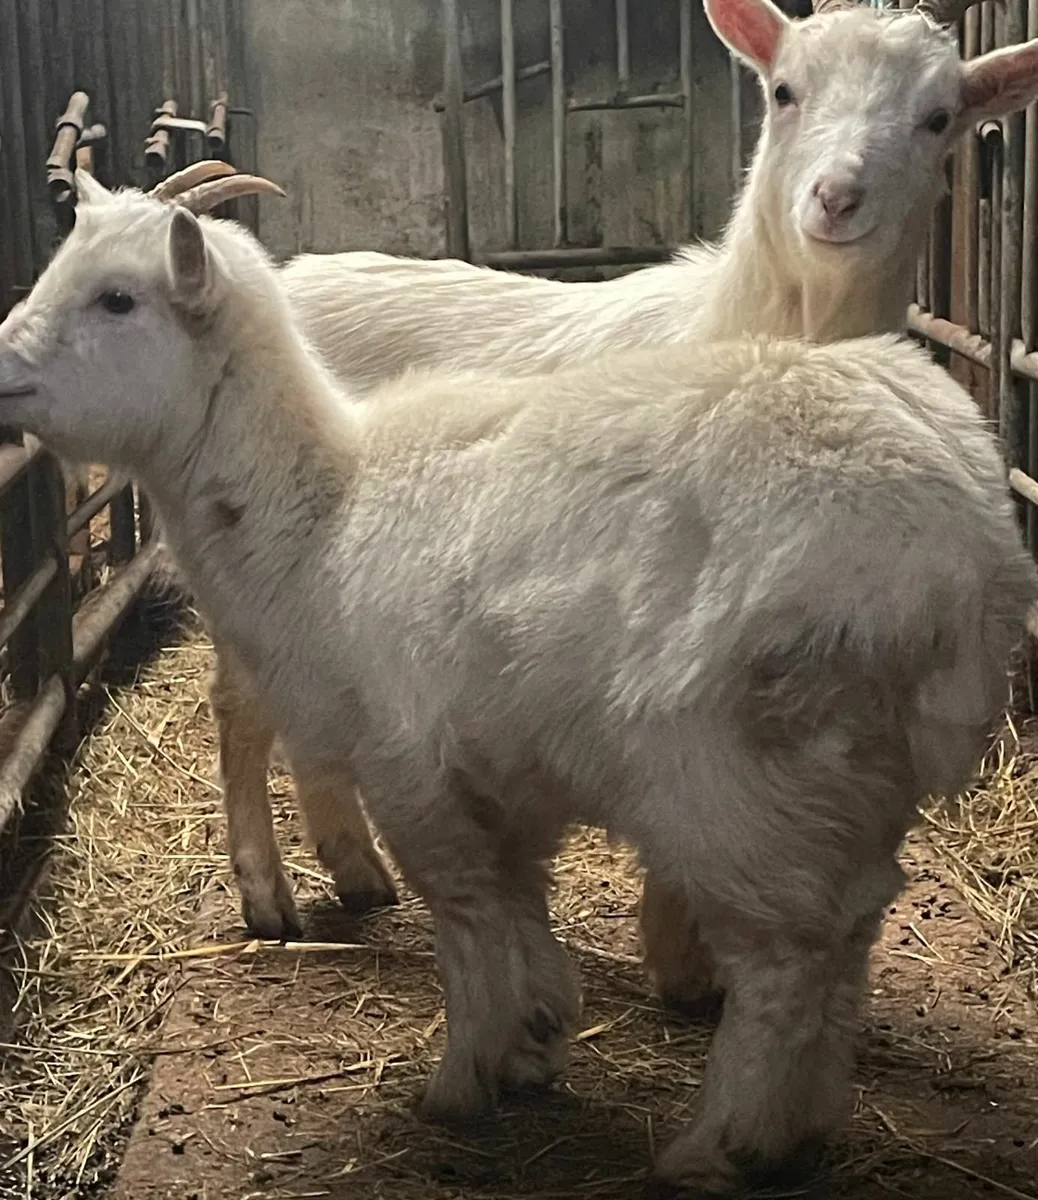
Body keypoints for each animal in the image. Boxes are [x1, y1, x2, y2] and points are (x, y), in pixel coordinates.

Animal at [0, 166, 1033, 1195]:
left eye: (118, 298)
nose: (2, 365)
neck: (321, 510)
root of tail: (969, 549)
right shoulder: (501, 776)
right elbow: (518, 903)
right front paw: (536, 1038)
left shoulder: (411, 767)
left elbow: (464, 917)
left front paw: (463, 1079)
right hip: (852, 770)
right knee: (849, 931)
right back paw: (805, 1125)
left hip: (738, 770)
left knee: (787, 959)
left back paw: (723, 1144)